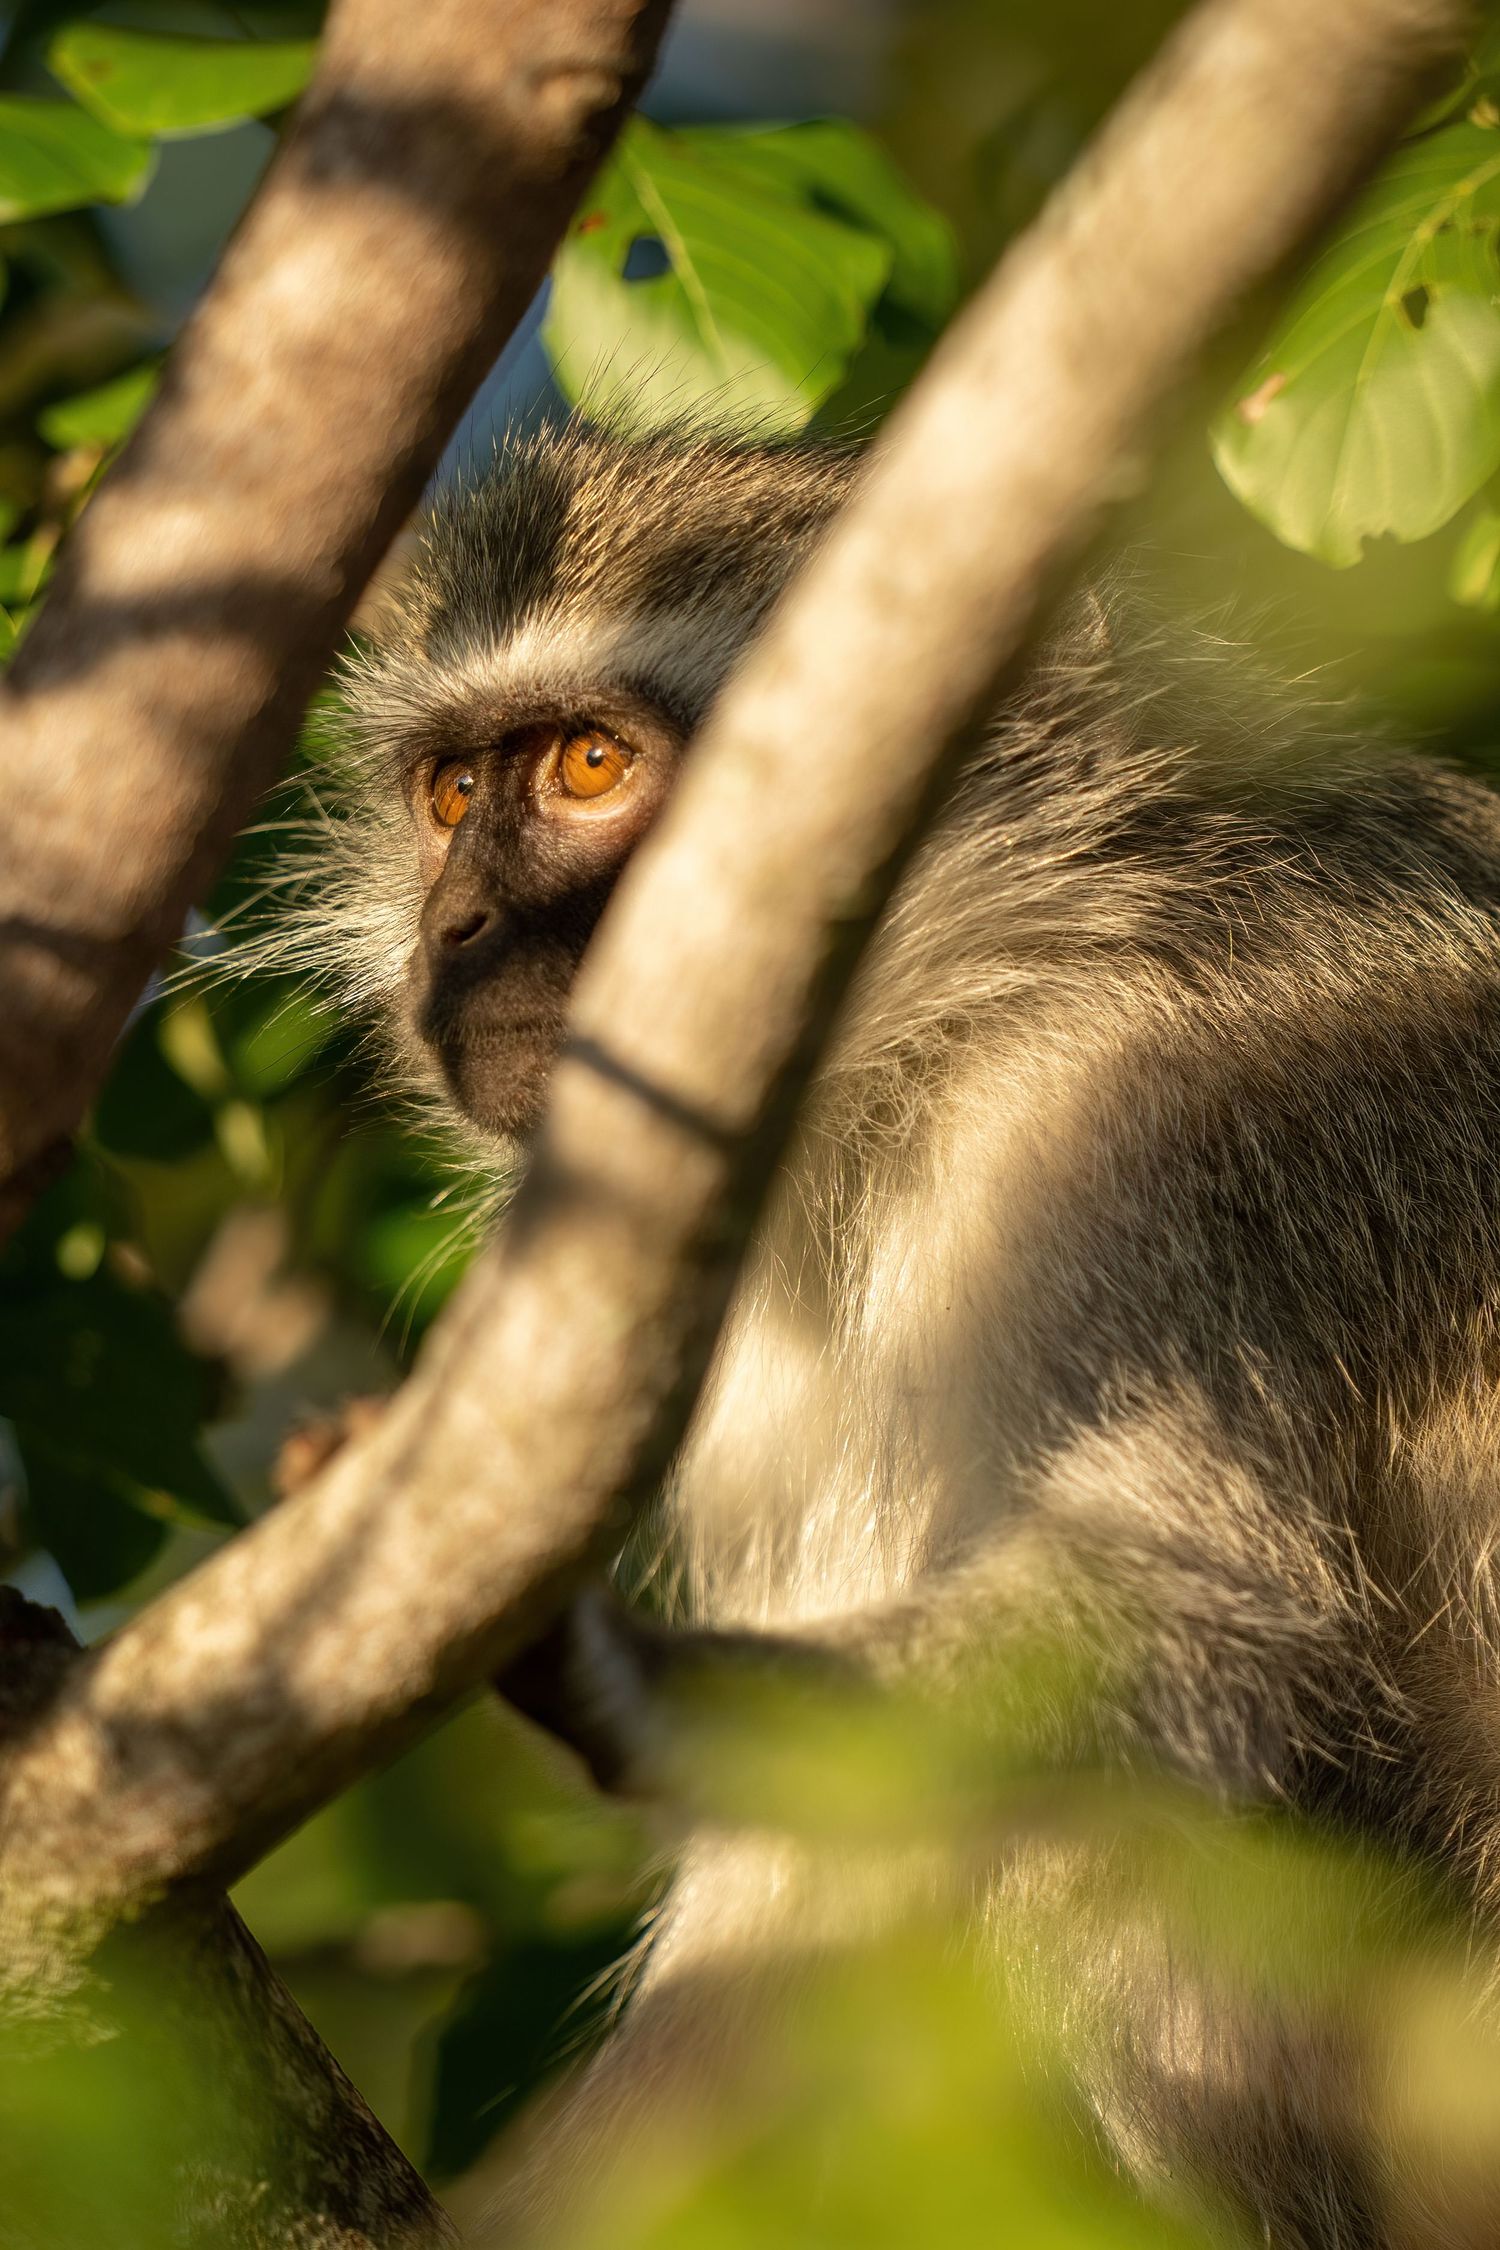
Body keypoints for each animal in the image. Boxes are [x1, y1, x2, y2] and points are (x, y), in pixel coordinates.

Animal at [272, 419, 1500, 2248]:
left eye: (589, 765)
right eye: (450, 794)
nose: (458, 934)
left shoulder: (1160, 1122)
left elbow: (1187, 1612)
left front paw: (613, 1677)